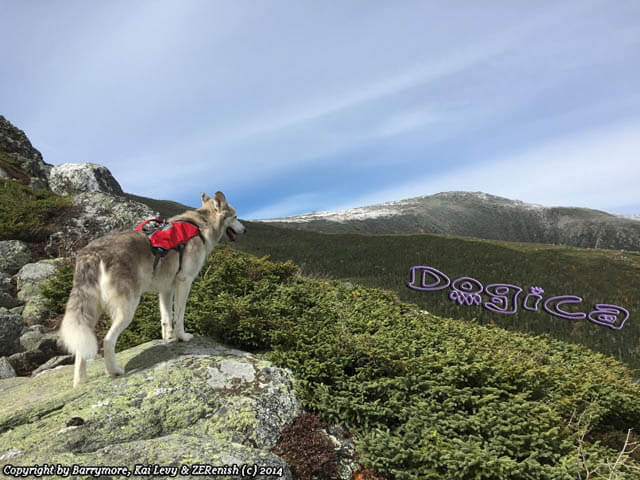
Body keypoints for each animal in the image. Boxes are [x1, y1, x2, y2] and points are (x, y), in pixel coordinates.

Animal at [59, 190, 245, 386]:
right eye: (236, 217)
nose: (245, 230)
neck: (201, 226)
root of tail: (93, 252)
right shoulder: (184, 282)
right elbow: (179, 316)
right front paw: (181, 337)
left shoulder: (166, 289)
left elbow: (166, 318)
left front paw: (168, 338)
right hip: (127, 309)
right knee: (108, 341)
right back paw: (114, 371)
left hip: (90, 312)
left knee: (81, 349)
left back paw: (80, 382)